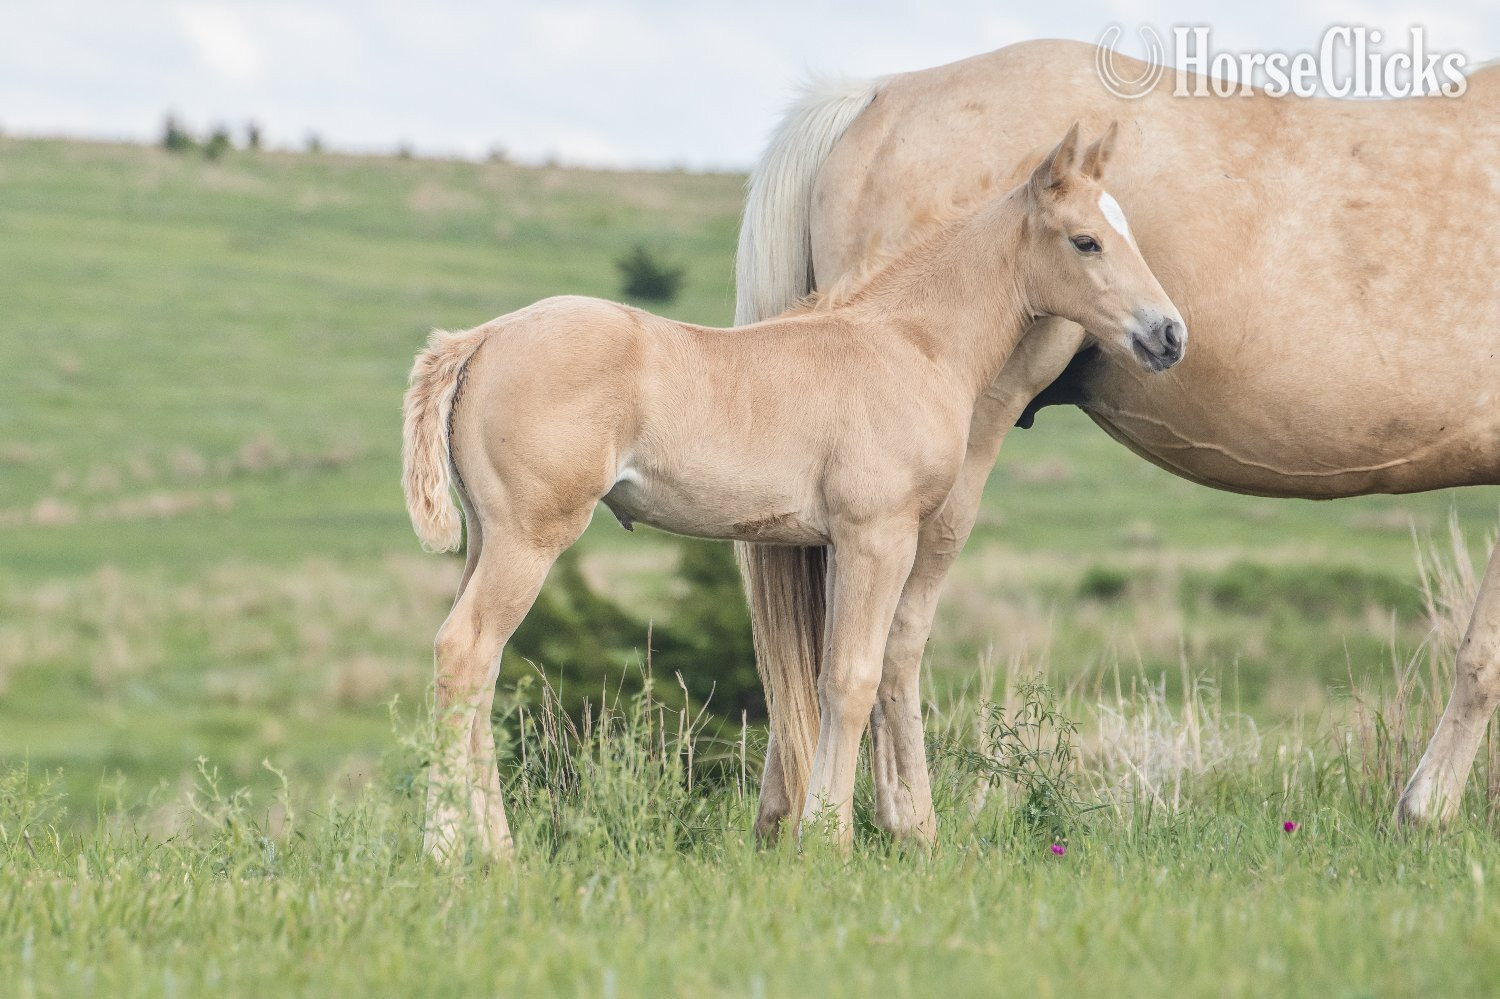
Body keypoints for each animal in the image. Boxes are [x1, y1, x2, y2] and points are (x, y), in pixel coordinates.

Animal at [401, 124, 1184, 860]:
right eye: (1086, 240)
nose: (1169, 335)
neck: (909, 342)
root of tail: (480, 339)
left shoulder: (840, 543)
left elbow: (832, 675)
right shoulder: (878, 535)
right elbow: (852, 678)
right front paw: (828, 840)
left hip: (487, 537)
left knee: (478, 667)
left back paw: (497, 852)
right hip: (530, 537)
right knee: (466, 652)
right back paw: (445, 850)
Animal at [735, 39, 1500, 844]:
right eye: (1087, 240)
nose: (1170, 335)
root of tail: (876, 98)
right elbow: (1483, 658)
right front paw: (1426, 812)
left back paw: (786, 818)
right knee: (892, 640)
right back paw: (907, 822)